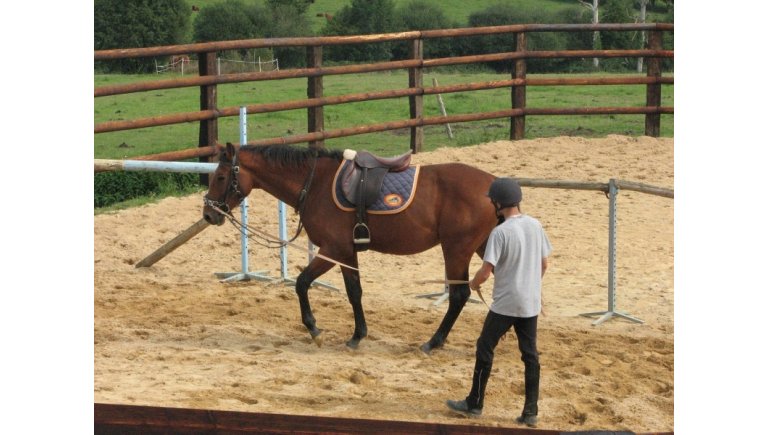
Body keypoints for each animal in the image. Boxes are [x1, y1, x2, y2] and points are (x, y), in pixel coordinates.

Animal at [202, 142, 499, 354]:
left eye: (220, 177)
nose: (208, 214)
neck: (316, 183)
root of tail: (494, 184)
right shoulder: (347, 252)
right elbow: (354, 292)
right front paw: (357, 335)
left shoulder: (332, 250)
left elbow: (301, 283)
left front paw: (314, 329)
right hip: (482, 247)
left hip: (457, 250)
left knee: (459, 295)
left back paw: (433, 342)